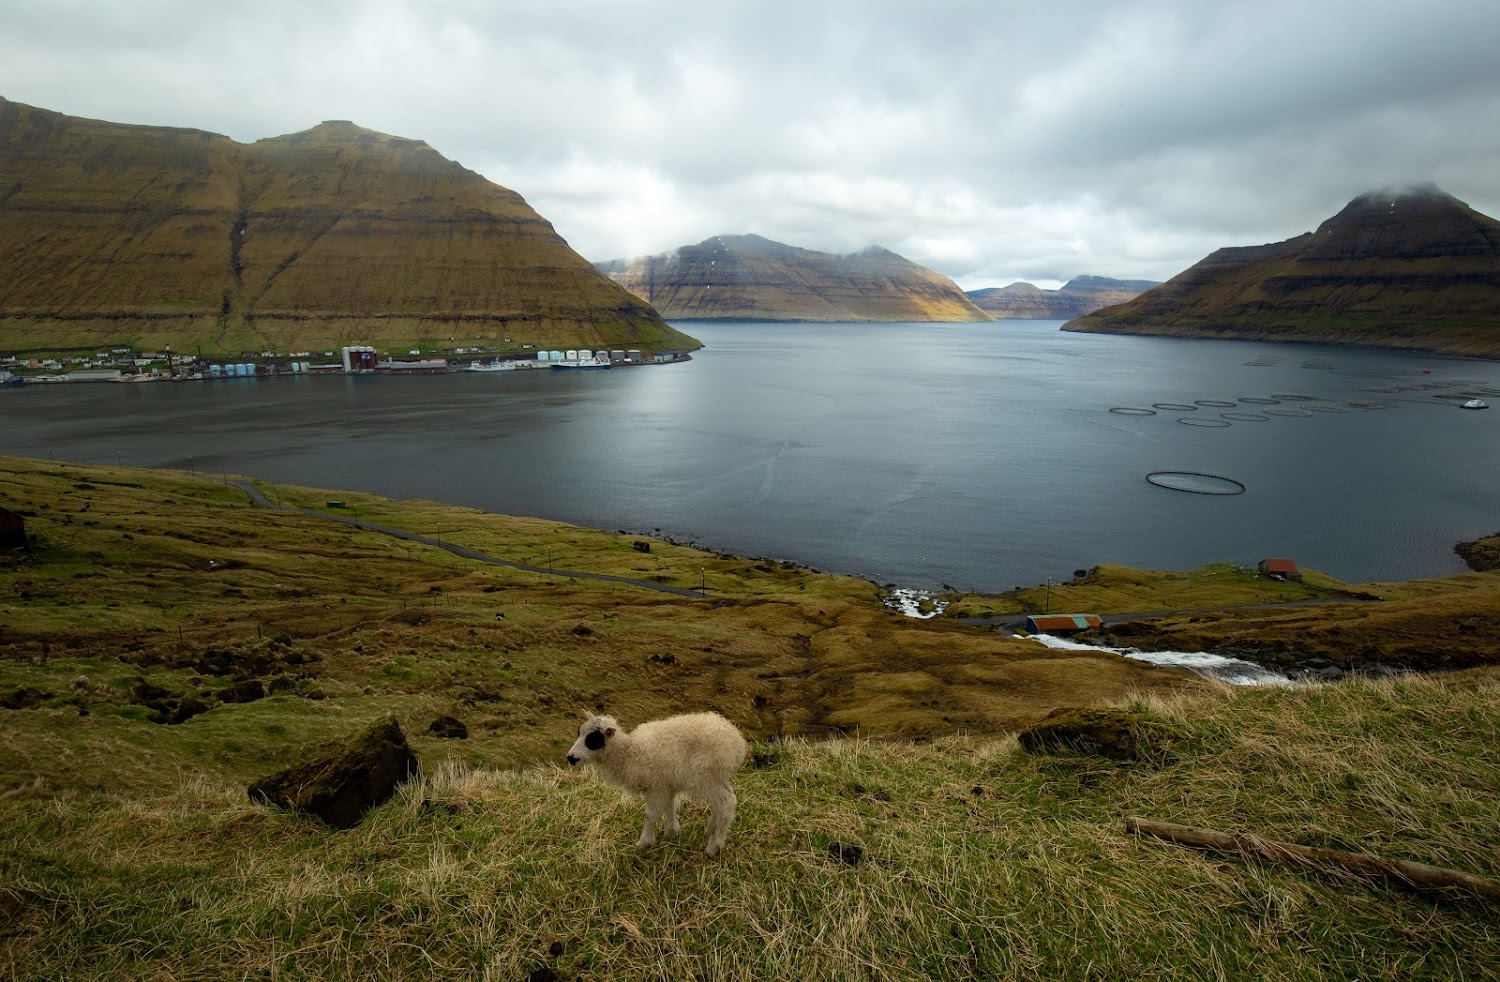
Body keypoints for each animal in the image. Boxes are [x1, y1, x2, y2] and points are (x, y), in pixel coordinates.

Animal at [564, 710, 747, 857]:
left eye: (593, 739)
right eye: (579, 732)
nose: (570, 757)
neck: (629, 753)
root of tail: (736, 741)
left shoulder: (657, 784)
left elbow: (651, 814)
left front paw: (644, 842)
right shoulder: (666, 783)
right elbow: (669, 805)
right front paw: (672, 831)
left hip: (706, 776)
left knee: (727, 802)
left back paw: (713, 846)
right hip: (718, 776)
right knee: (723, 801)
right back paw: (710, 830)